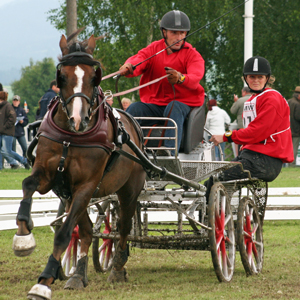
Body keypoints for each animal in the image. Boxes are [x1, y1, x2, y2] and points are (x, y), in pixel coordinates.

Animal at [12, 34, 146, 298]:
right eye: (61, 76)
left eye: (94, 76)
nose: (78, 120)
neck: (70, 137)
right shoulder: (49, 176)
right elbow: (28, 183)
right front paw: (23, 236)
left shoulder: (87, 185)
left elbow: (64, 233)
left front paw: (43, 282)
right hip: (71, 193)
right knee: (85, 230)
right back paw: (78, 274)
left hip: (127, 191)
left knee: (123, 227)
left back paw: (117, 268)